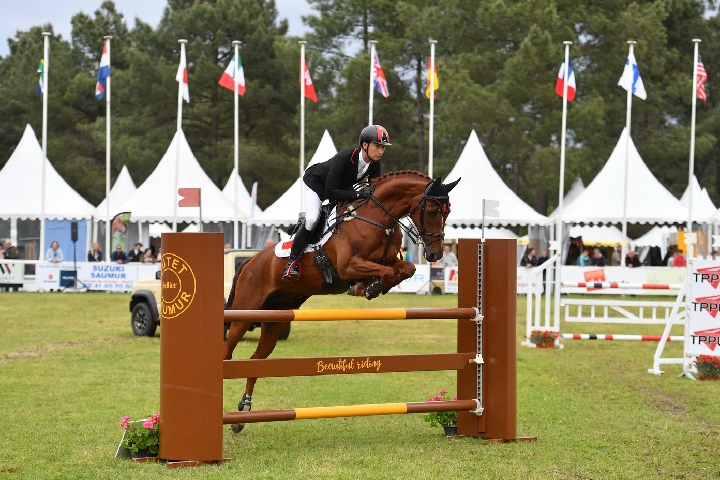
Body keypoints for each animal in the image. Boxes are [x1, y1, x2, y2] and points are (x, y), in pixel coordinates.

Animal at [223, 170, 460, 432]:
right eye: (431, 211)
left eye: (448, 211)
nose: (435, 254)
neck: (377, 217)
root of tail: (249, 261)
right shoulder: (348, 266)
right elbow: (385, 272)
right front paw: (366, 286)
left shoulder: (389, 261)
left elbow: (406, 269)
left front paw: (371, 286)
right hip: (246, 311)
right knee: (228, 348)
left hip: (277, 318)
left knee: (256, 359)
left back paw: (243, 410)